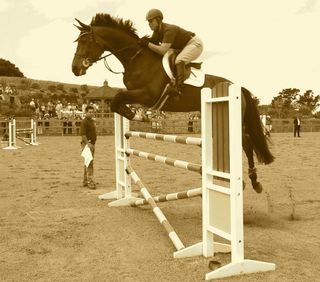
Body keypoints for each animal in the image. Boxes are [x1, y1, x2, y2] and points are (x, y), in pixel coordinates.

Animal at [71, 13, 274, 194]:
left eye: (85, 41)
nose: (74, 69)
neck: (136, 58)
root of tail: (237, 87)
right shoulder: (137, 94)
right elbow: (117, 101)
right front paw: (138, 115)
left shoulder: (147, 94)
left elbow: (117, 99)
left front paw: (135, 115)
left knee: (247, 143)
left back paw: (254, 182)